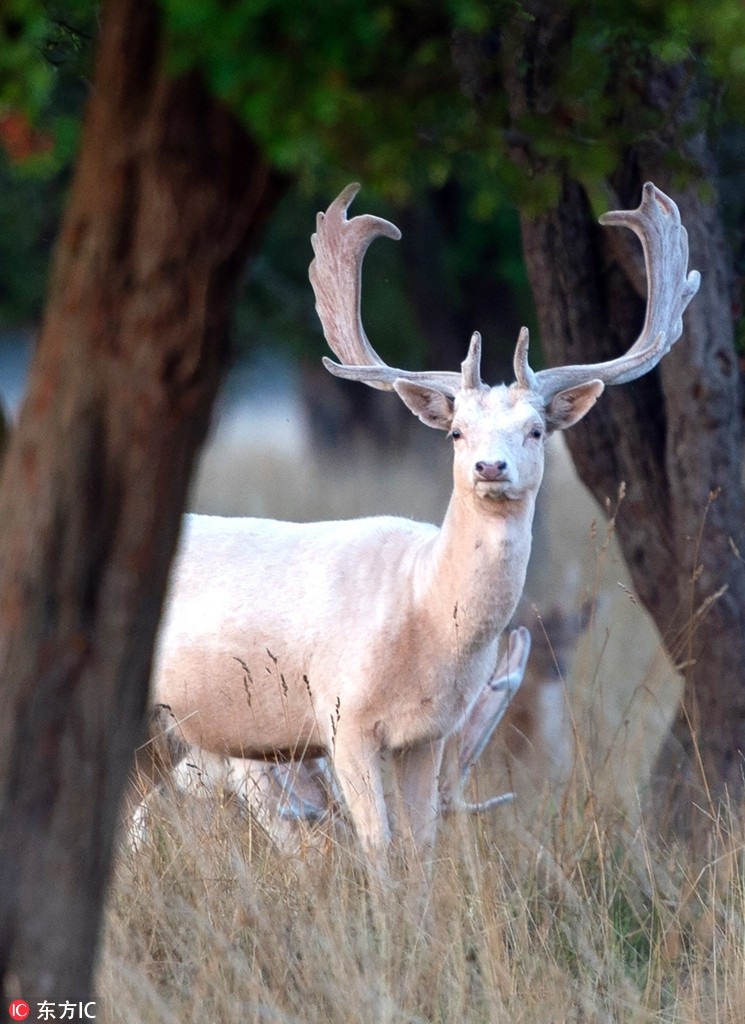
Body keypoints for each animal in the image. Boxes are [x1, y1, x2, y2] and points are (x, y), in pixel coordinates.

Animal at [145, 182, 699, 864]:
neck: (422, 610)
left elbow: (421, 850)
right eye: (457, 431)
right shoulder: (342, 717)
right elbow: (379, 849)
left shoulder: (429, 735)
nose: (490, 466)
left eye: (535, 430)